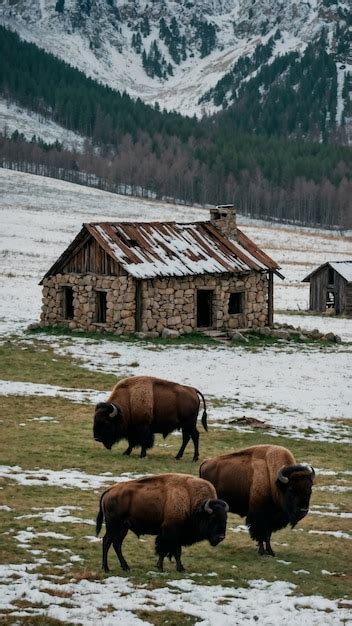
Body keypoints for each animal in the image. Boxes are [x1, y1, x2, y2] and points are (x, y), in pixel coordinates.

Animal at [95, 472, 228, 572]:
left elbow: (165, 551)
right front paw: (180, 568)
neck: (190, 500)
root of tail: (109, 490)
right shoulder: (172, 534)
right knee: (107, 542)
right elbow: (173, 551)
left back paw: (126, 567)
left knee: (117, 544)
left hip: (123, 528)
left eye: (225, 519)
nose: (221, 537)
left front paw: (161, 567)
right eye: (212, 518)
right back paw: (106, 568)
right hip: (114, 526)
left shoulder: (171, 535)